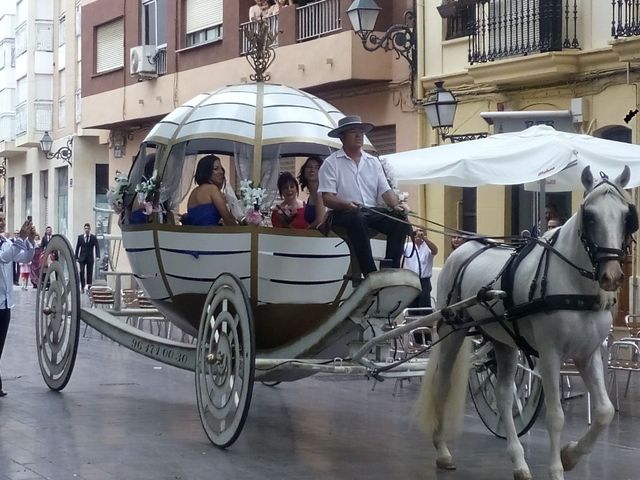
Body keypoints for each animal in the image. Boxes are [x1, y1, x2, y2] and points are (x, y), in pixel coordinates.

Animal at [420, 166, 636, 480]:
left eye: (626, 215)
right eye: (589, 215)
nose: (611, 276)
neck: (574, 285)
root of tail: (464, 248)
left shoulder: (588, 353)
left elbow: (605, 412)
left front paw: (570, 455)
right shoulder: (550, 354)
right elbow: (556, 416)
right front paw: (557, 469)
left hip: (503, 341)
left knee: (504, 396)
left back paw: (519, 461)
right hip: (451, 332)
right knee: (443, 386)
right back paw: (442, 450)